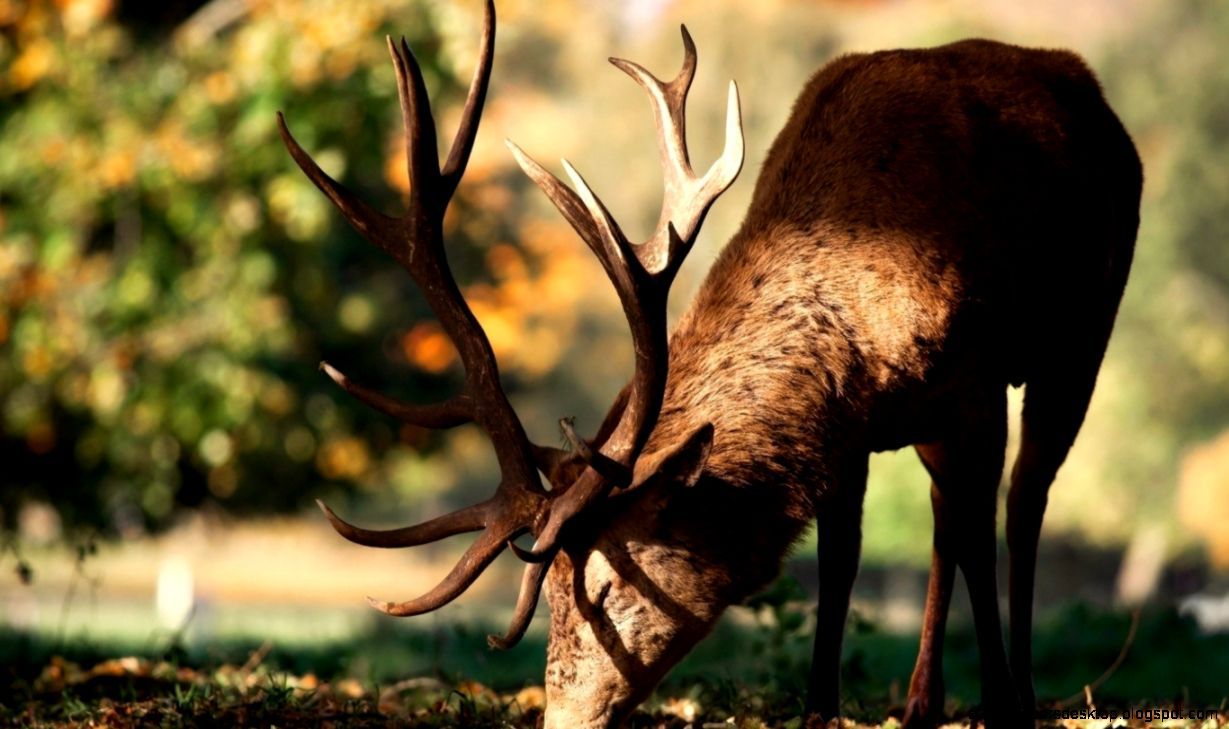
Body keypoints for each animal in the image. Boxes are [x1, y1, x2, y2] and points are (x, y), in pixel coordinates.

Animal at [277, 2, 1142, 727]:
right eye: (548, 592)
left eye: (605, 585)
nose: (561, 718)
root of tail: (1092, 93)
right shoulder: (852, 431)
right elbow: (842, 561)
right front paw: (818, 708)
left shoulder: (973, 384)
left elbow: (979, 532)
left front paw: (999, 702)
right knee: (944, 516)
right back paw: (922, 702)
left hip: (1082, 334)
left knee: (1021, 501)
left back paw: (1017, 690)